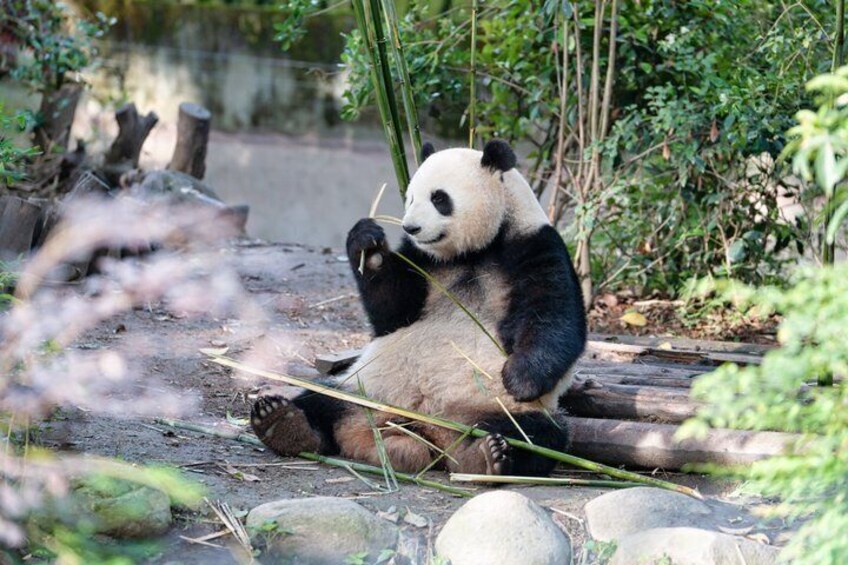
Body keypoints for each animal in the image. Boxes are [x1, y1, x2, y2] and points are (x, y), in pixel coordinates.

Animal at [251, 140, 586, 477]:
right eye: (410, 197)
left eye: (439, 198)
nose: (411, 227)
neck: (473, 251)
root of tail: (426, 433)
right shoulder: (422, 260)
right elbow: (392, 312)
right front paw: (369, 247)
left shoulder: (533, 245)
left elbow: (552, 317)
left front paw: (521, 378)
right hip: (365, 390)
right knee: (322, 399)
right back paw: (282, 423)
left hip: (496, 408)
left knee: (535, 435)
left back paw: (487, 455)